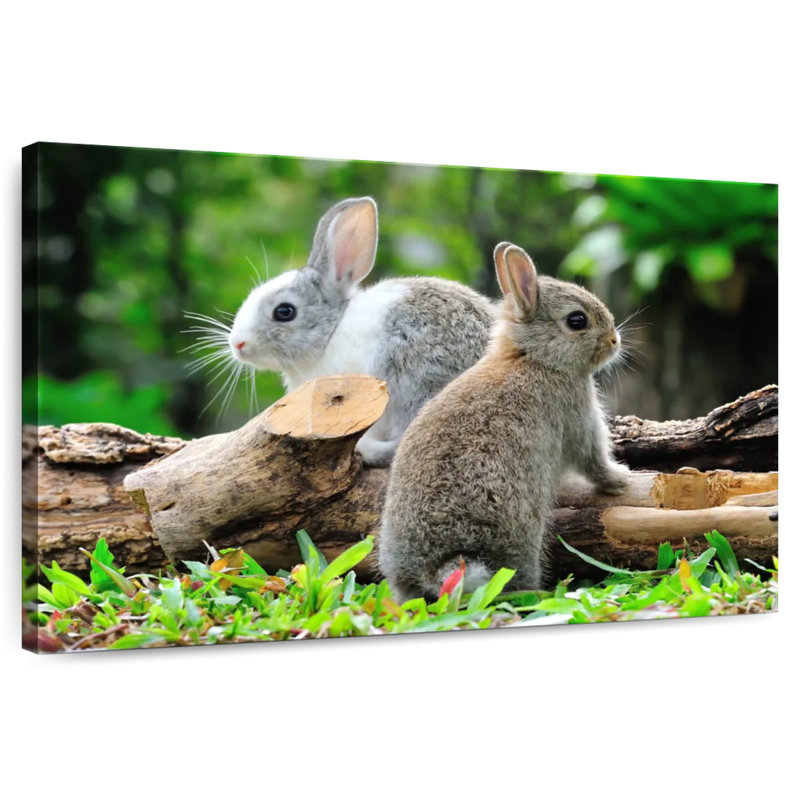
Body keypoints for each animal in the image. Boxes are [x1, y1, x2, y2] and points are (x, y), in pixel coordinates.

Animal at [378, 241, 631, 602]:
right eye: (577, 320)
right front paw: (621, 479)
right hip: (520, 539)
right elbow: (593, 461)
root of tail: (435, 568)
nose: (614, 341)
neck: (534, 358)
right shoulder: (578, 418)